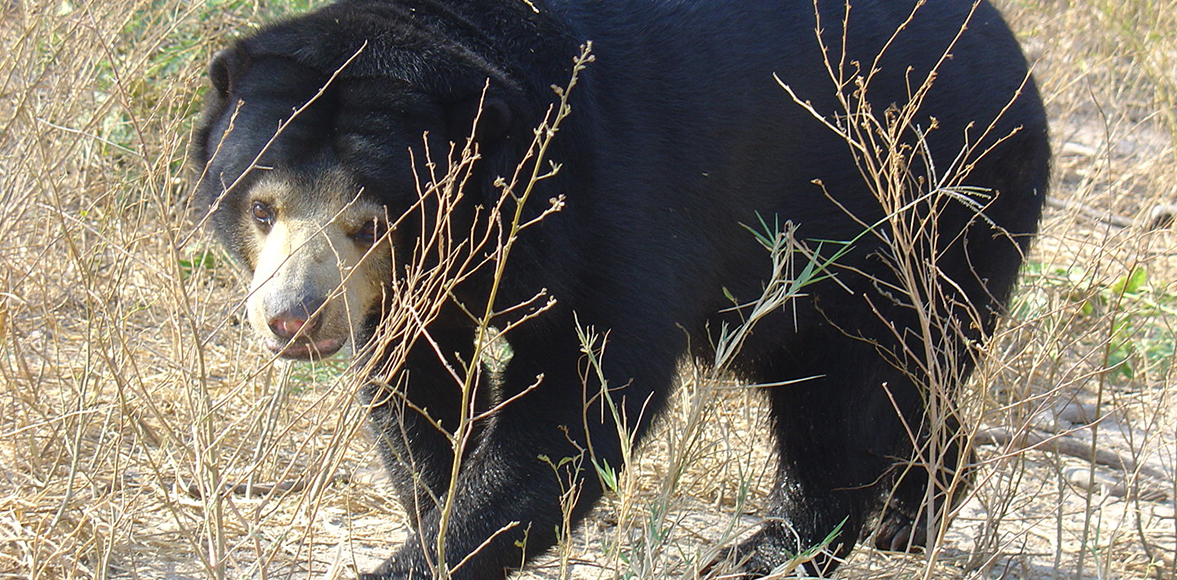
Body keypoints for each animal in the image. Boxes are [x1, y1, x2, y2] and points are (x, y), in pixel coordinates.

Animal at [193, 0, 1049, 576]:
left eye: (371, 222)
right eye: (262, 206)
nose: (293, 320)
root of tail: (1008, 44)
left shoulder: (614, 196)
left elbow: (586, 391)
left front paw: (439, 549)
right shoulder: (417, 290)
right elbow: (417, 386)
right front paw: (439, 498)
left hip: (925, 202)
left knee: (852, 383)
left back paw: (771, 551)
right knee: (891, 379)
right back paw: (917, 505)